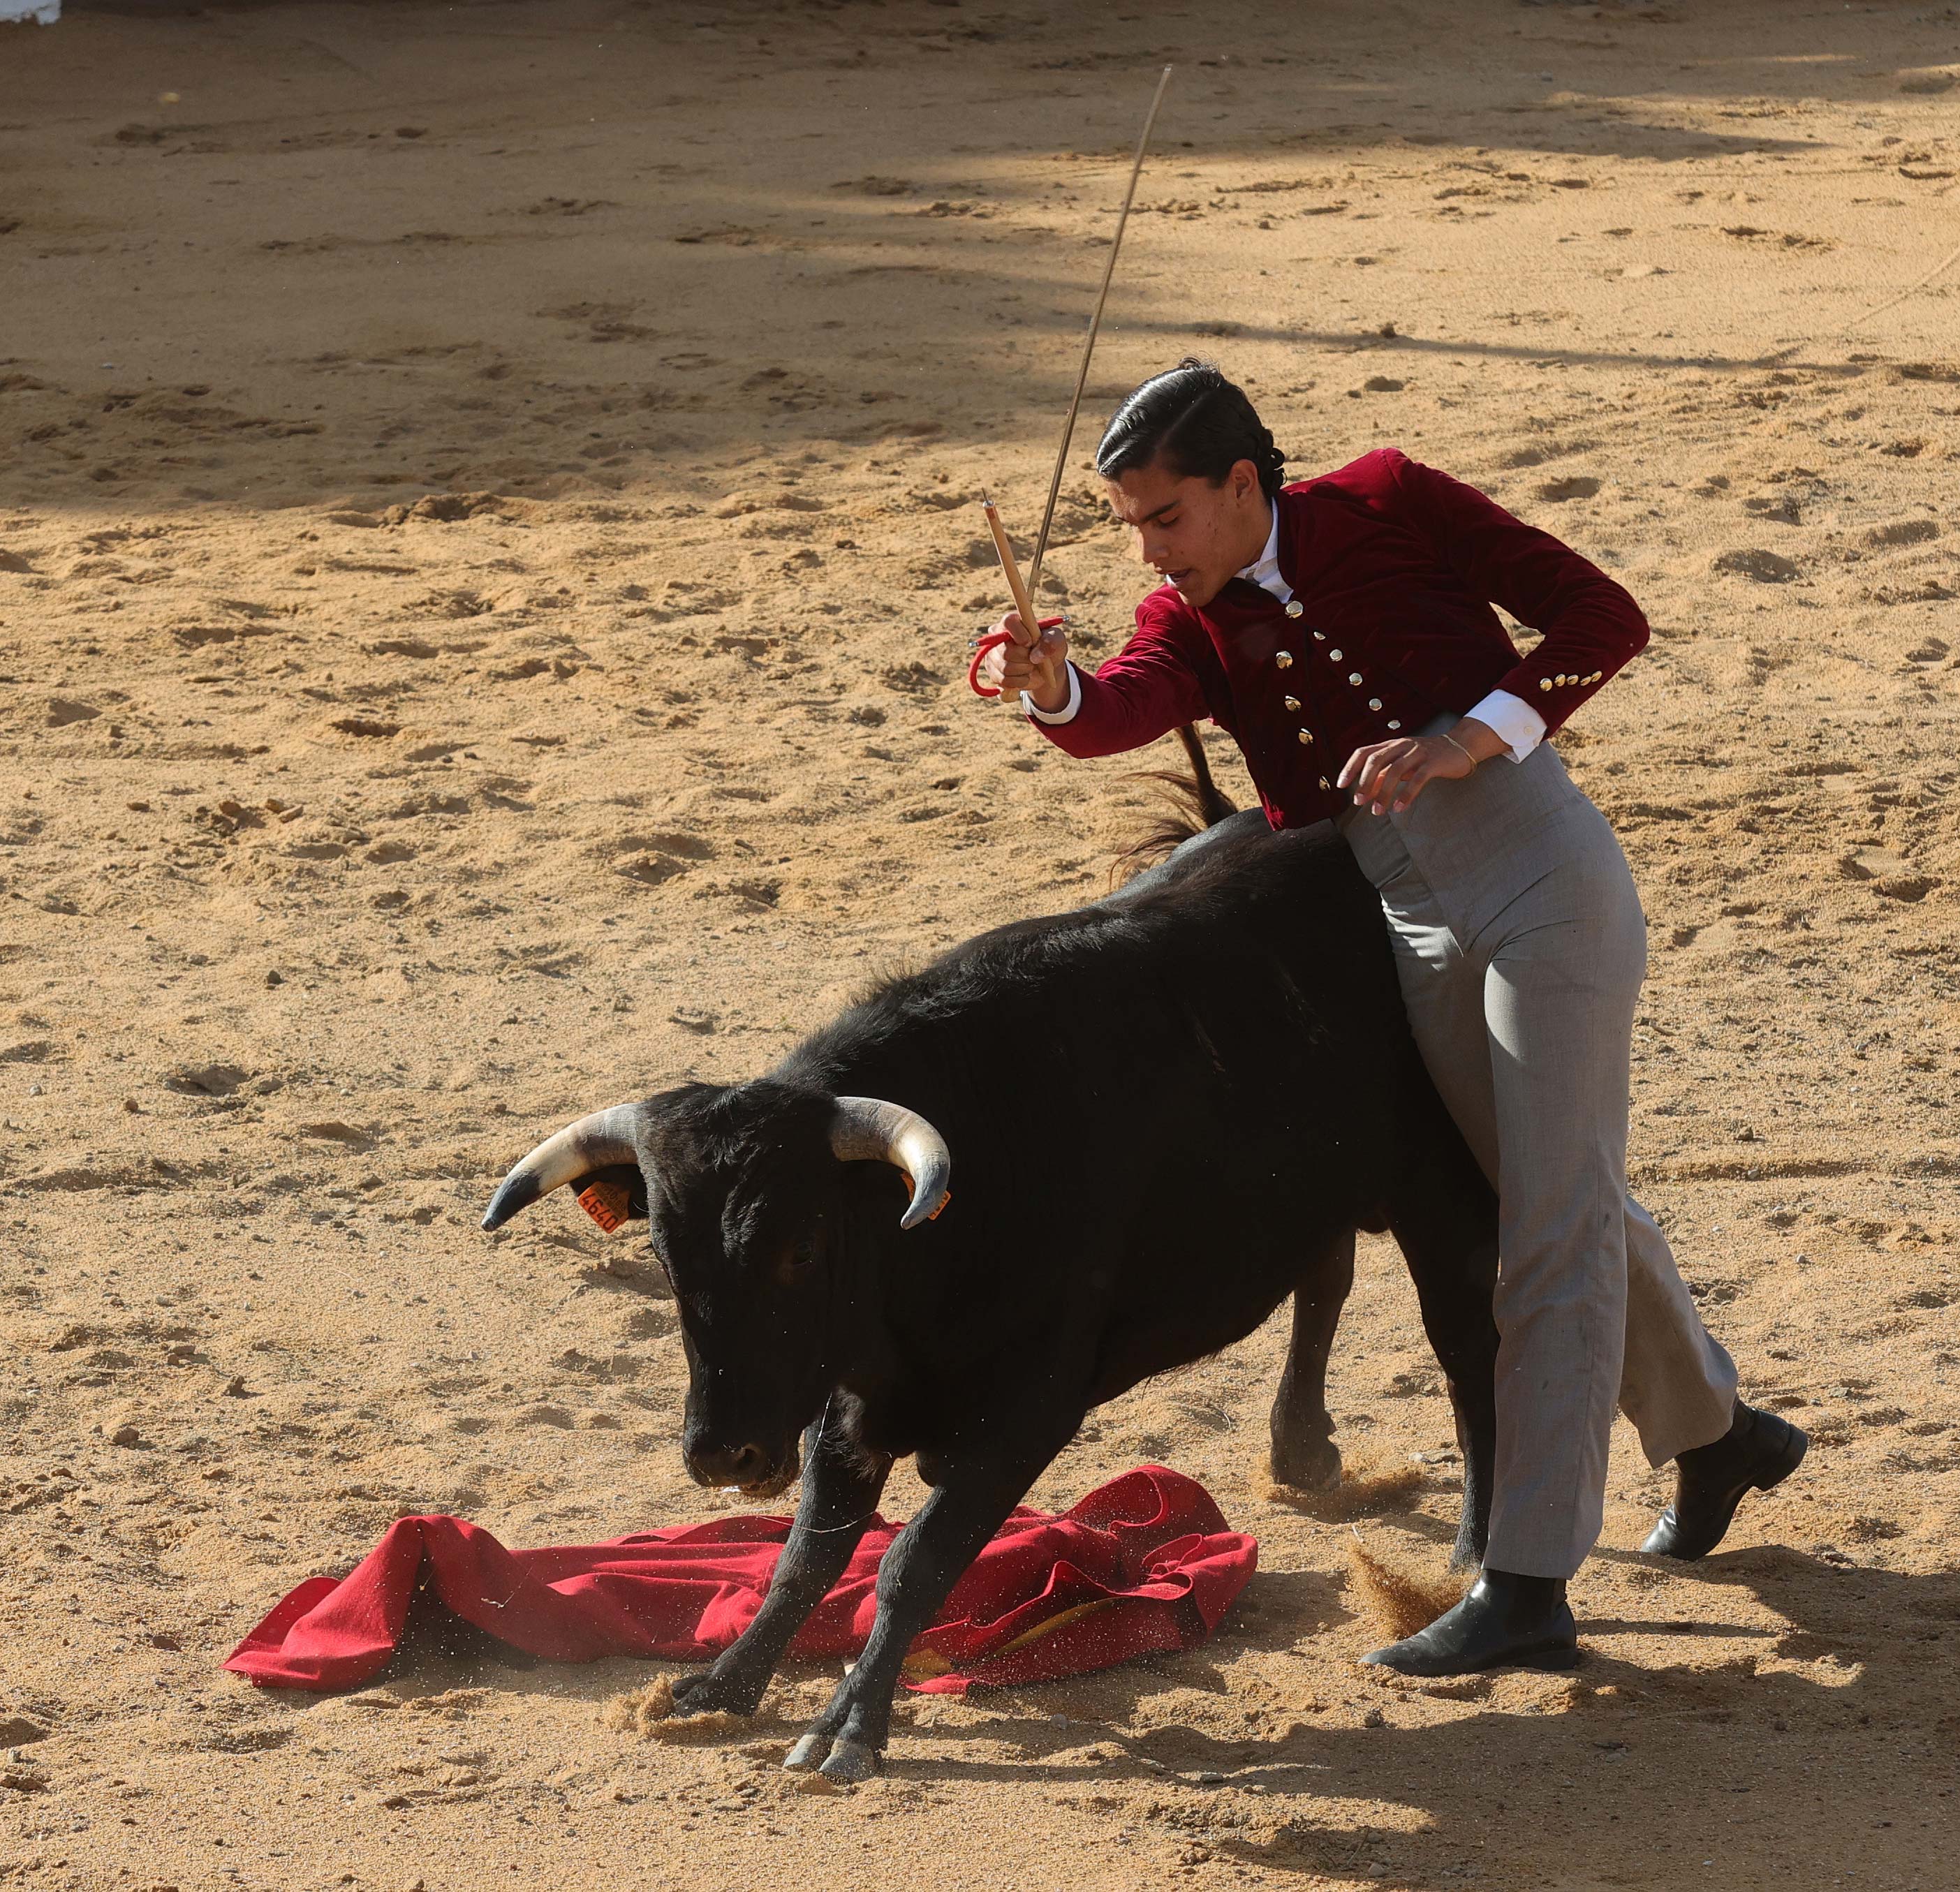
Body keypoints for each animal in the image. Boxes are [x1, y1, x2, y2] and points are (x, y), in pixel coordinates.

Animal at [478, 804, 1497, 1780]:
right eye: (662, 1251)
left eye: (802, 1245)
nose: (722, 1453)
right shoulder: (846, 1403)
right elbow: (808, 1554)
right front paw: (717, 1688)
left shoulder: (1026, 1411)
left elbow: (911, 1561)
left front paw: (848, 1726)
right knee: (1326, 1274)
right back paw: (1299, 1453)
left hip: (1441, 1185)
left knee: (1467, 1355)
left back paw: (1469, 1562)